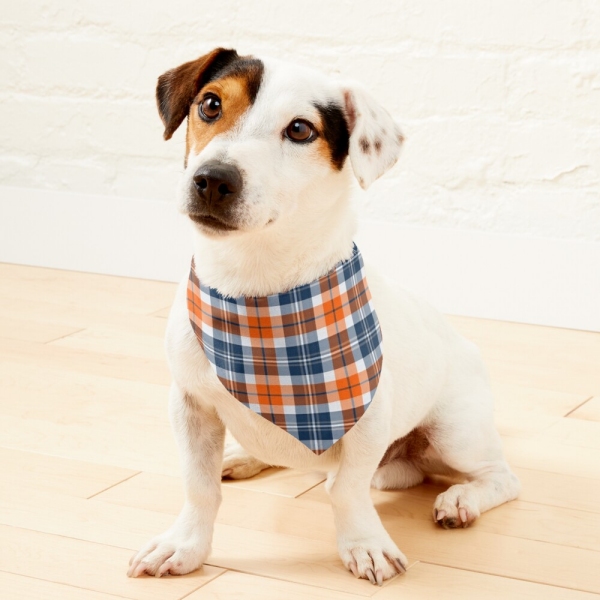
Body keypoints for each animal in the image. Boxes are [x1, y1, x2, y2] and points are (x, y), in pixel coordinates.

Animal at [127, 48, 520, 584]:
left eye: (299, 130)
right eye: (210, 104)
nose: (212, 179)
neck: (257, 288)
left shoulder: (367, 419)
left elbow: (347, 490)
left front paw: (365, 544)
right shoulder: (190, 405)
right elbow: (199, 486)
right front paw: (185, 545)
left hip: (456, 432)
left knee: (500, 477)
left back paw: (461, 499)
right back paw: (244, 456)